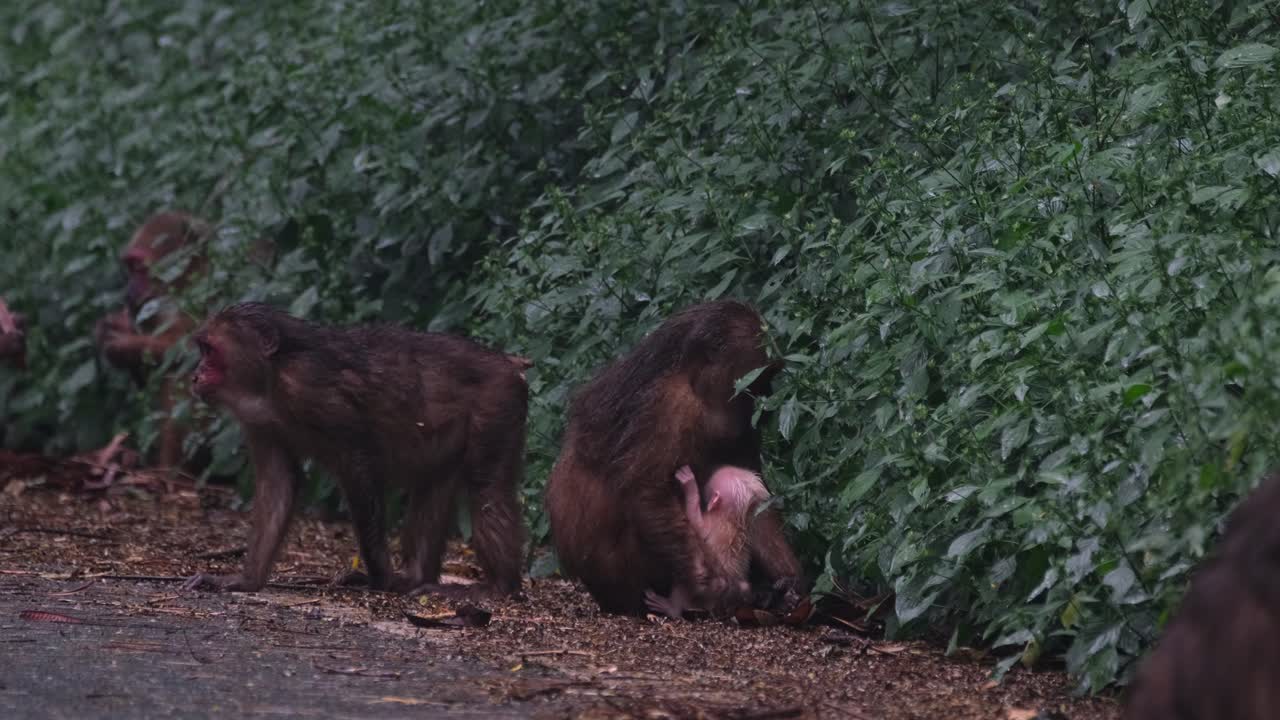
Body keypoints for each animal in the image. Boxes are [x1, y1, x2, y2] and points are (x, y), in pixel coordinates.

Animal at [182, 302, 528, 597]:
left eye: (210, 351)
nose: (196, 374)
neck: (273, 376)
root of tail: (508, 362)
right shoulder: (260, 421)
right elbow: (278, 482)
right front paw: (245, 580)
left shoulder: (315, 389)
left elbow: (358, 466)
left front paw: (381, 578)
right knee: (433, 481)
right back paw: (416, 578)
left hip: (498, 399)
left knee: (487, 487)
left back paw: (499, 588)